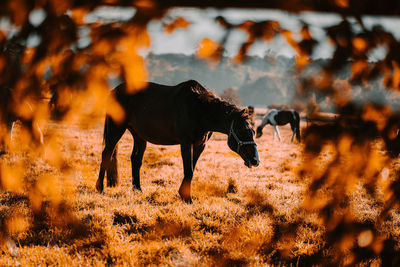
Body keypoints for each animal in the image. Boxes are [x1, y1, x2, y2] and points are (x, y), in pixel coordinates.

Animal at [96, 79, 260, 203]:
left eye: (252, 132)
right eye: (241, 131)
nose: (255, 160)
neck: (198, 109)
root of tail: (114, 91)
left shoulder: (200, 145)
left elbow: (192, 168)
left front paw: (184, 194)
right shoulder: (186, 143)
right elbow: (189, 170)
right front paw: (187, 198)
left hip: (139, 136)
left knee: (135, 159)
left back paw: (138, 189)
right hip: (116, 129)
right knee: (106, 154)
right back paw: (100, 188)